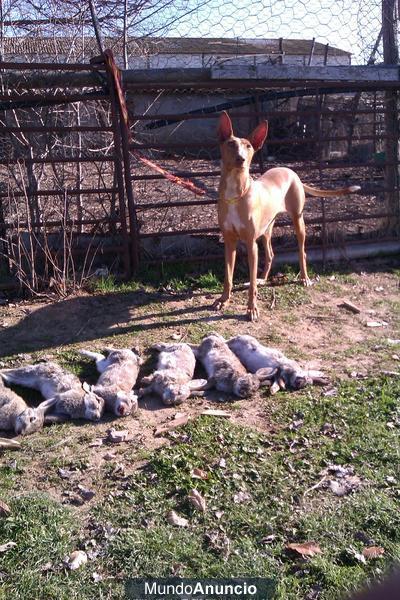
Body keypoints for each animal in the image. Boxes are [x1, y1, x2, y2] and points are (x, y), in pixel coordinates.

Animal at [214, 110, 360, 322]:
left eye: (249, 146)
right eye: (231, 144)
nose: (241, 159)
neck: (236, 193)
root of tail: (291, 171)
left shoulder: (250, 244)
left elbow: (251, 285)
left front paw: (252, 309)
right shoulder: (229, 242)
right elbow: (228, 276)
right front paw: (223, 300)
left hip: (298, 222)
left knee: (302, 252)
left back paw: (304, 278)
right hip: (267, 229)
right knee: (270, 254)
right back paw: (263, 278)